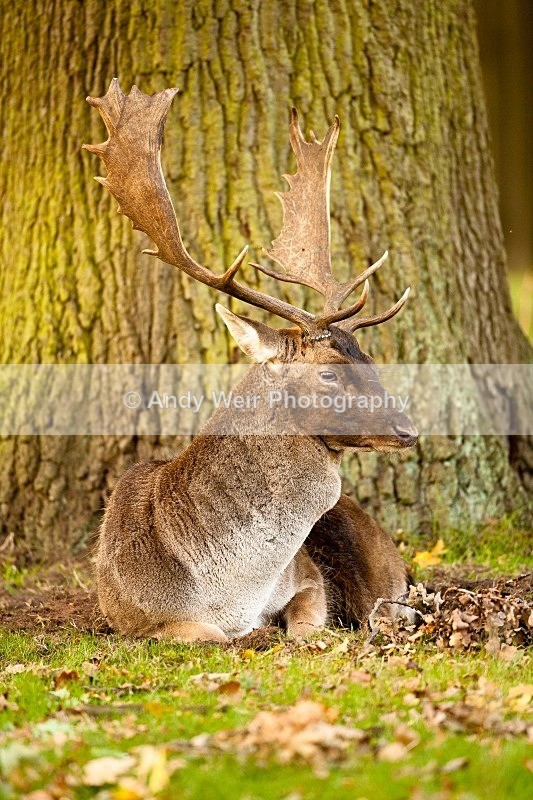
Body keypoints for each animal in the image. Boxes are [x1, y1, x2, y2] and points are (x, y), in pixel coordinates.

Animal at [84, 80, 418, 642]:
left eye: (369, 358)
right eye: (328, 371)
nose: (408, 429)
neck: (232, 589)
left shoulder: (308, 578)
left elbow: (305, 626)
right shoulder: (134, 618)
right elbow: (211, 636)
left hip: (388, 572)